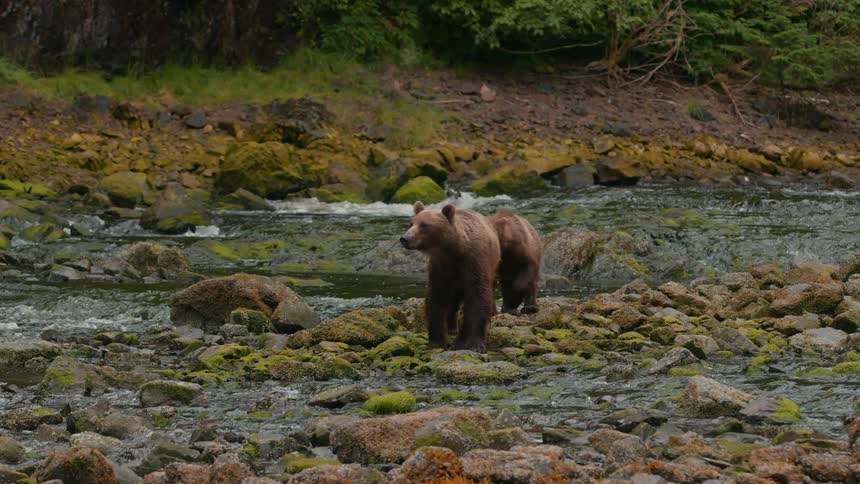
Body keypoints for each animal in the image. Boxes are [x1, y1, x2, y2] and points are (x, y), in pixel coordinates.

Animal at [400, 201, 500, 352]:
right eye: (411, 223)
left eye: (424, 225)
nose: (405, 238)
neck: (452, 252)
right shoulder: (440, 269)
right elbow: (436, 300)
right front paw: (436, 342)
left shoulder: (474, 263)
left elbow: (478, 298)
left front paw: (473, 344)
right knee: (452, 301)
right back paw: (452, 327)